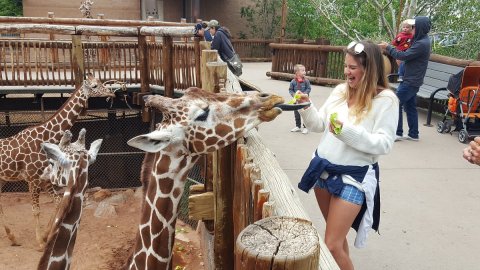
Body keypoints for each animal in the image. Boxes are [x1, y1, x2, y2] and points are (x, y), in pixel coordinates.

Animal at [0, 74, 114, 249]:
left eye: (101, 82)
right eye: (94, 86)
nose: (111, 92)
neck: (46, 136)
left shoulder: (45, 178)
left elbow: (58, 202)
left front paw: (47, 235)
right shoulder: (33, 179)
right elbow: (36, 210)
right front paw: (40, 242)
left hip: (3, 179)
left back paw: (13, 237)